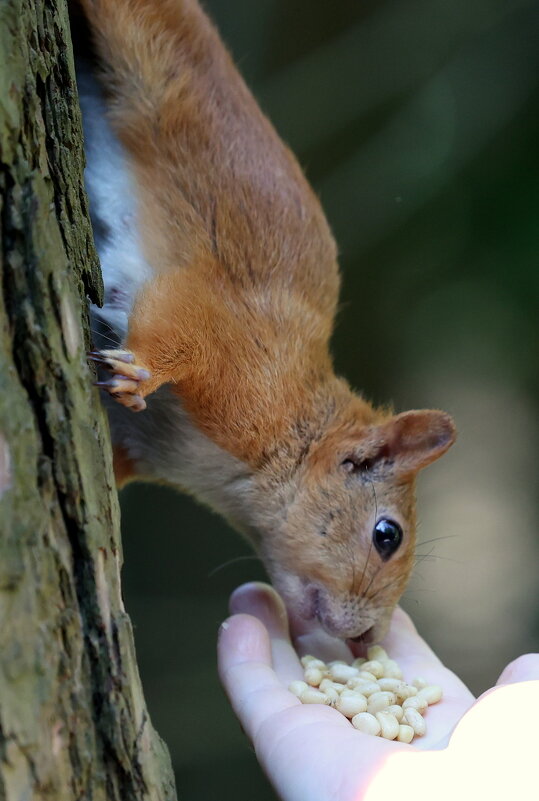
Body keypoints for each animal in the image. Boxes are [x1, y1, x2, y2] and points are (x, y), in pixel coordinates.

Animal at [76, 0, 456, 640]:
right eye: (387, 535)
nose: (365, 642)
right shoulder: (238, 352)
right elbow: (181, 321)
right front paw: (141, 373)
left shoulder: (144, 444)